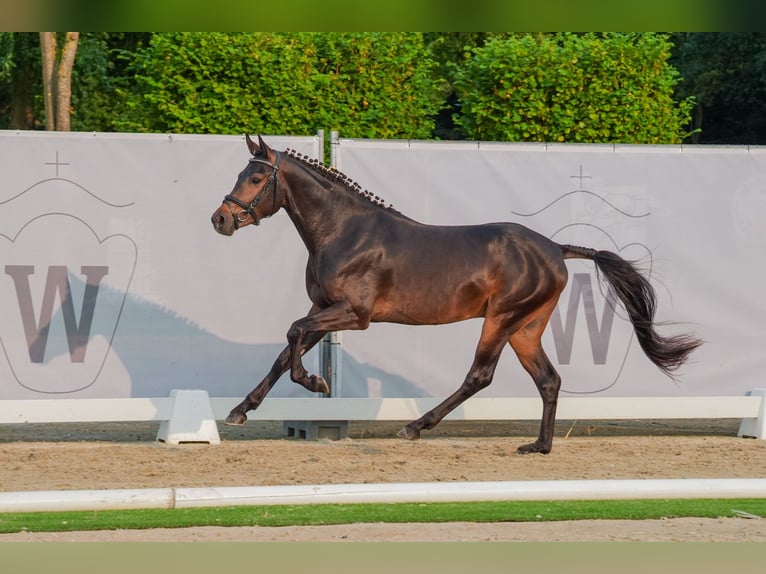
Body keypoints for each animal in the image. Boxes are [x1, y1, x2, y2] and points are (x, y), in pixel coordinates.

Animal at [210, 136, 704, 454]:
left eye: (257, 178)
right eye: (240, 173)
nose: (221, 219)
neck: (344, 231)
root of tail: (554, 248)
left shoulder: (353, 313)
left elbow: (292, 335)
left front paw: (315, 382)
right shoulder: (323, 307)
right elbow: (284, 350)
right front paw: (239, 411)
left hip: (501, 320)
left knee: (480, 376)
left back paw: (415, 427)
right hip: (526, 328)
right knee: (548, 380)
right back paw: (539, 446)